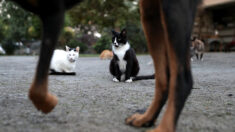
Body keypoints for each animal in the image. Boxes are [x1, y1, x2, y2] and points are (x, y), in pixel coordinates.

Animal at [9, 0, 200, 131]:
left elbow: (127, 70)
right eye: (114, 39)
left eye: (120, 39)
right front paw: (117, 79)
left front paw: (126, 80)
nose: (115, 44)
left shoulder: (129, 60)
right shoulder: (114, 61)